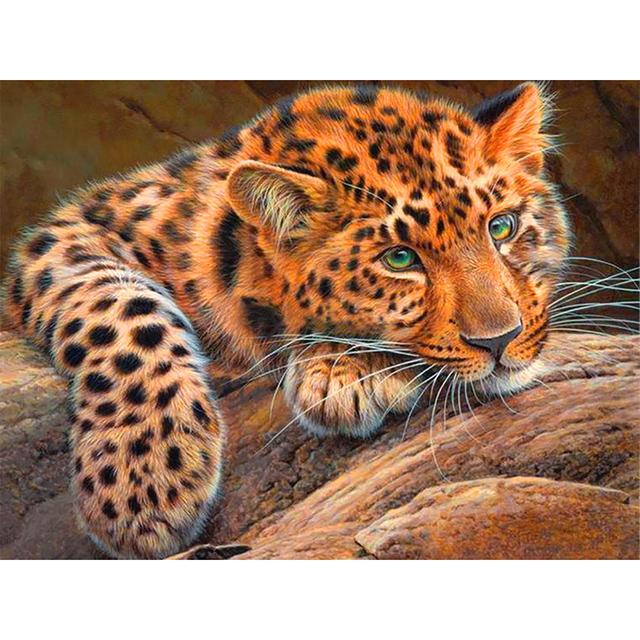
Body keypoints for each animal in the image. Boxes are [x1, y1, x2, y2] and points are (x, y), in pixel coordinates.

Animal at [1, 82, 571, 558]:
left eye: (502, 227)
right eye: (400, 259)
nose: (501, 339)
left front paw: (342, 370)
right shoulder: (67, 234)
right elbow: (122, 305)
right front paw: (145, 478)